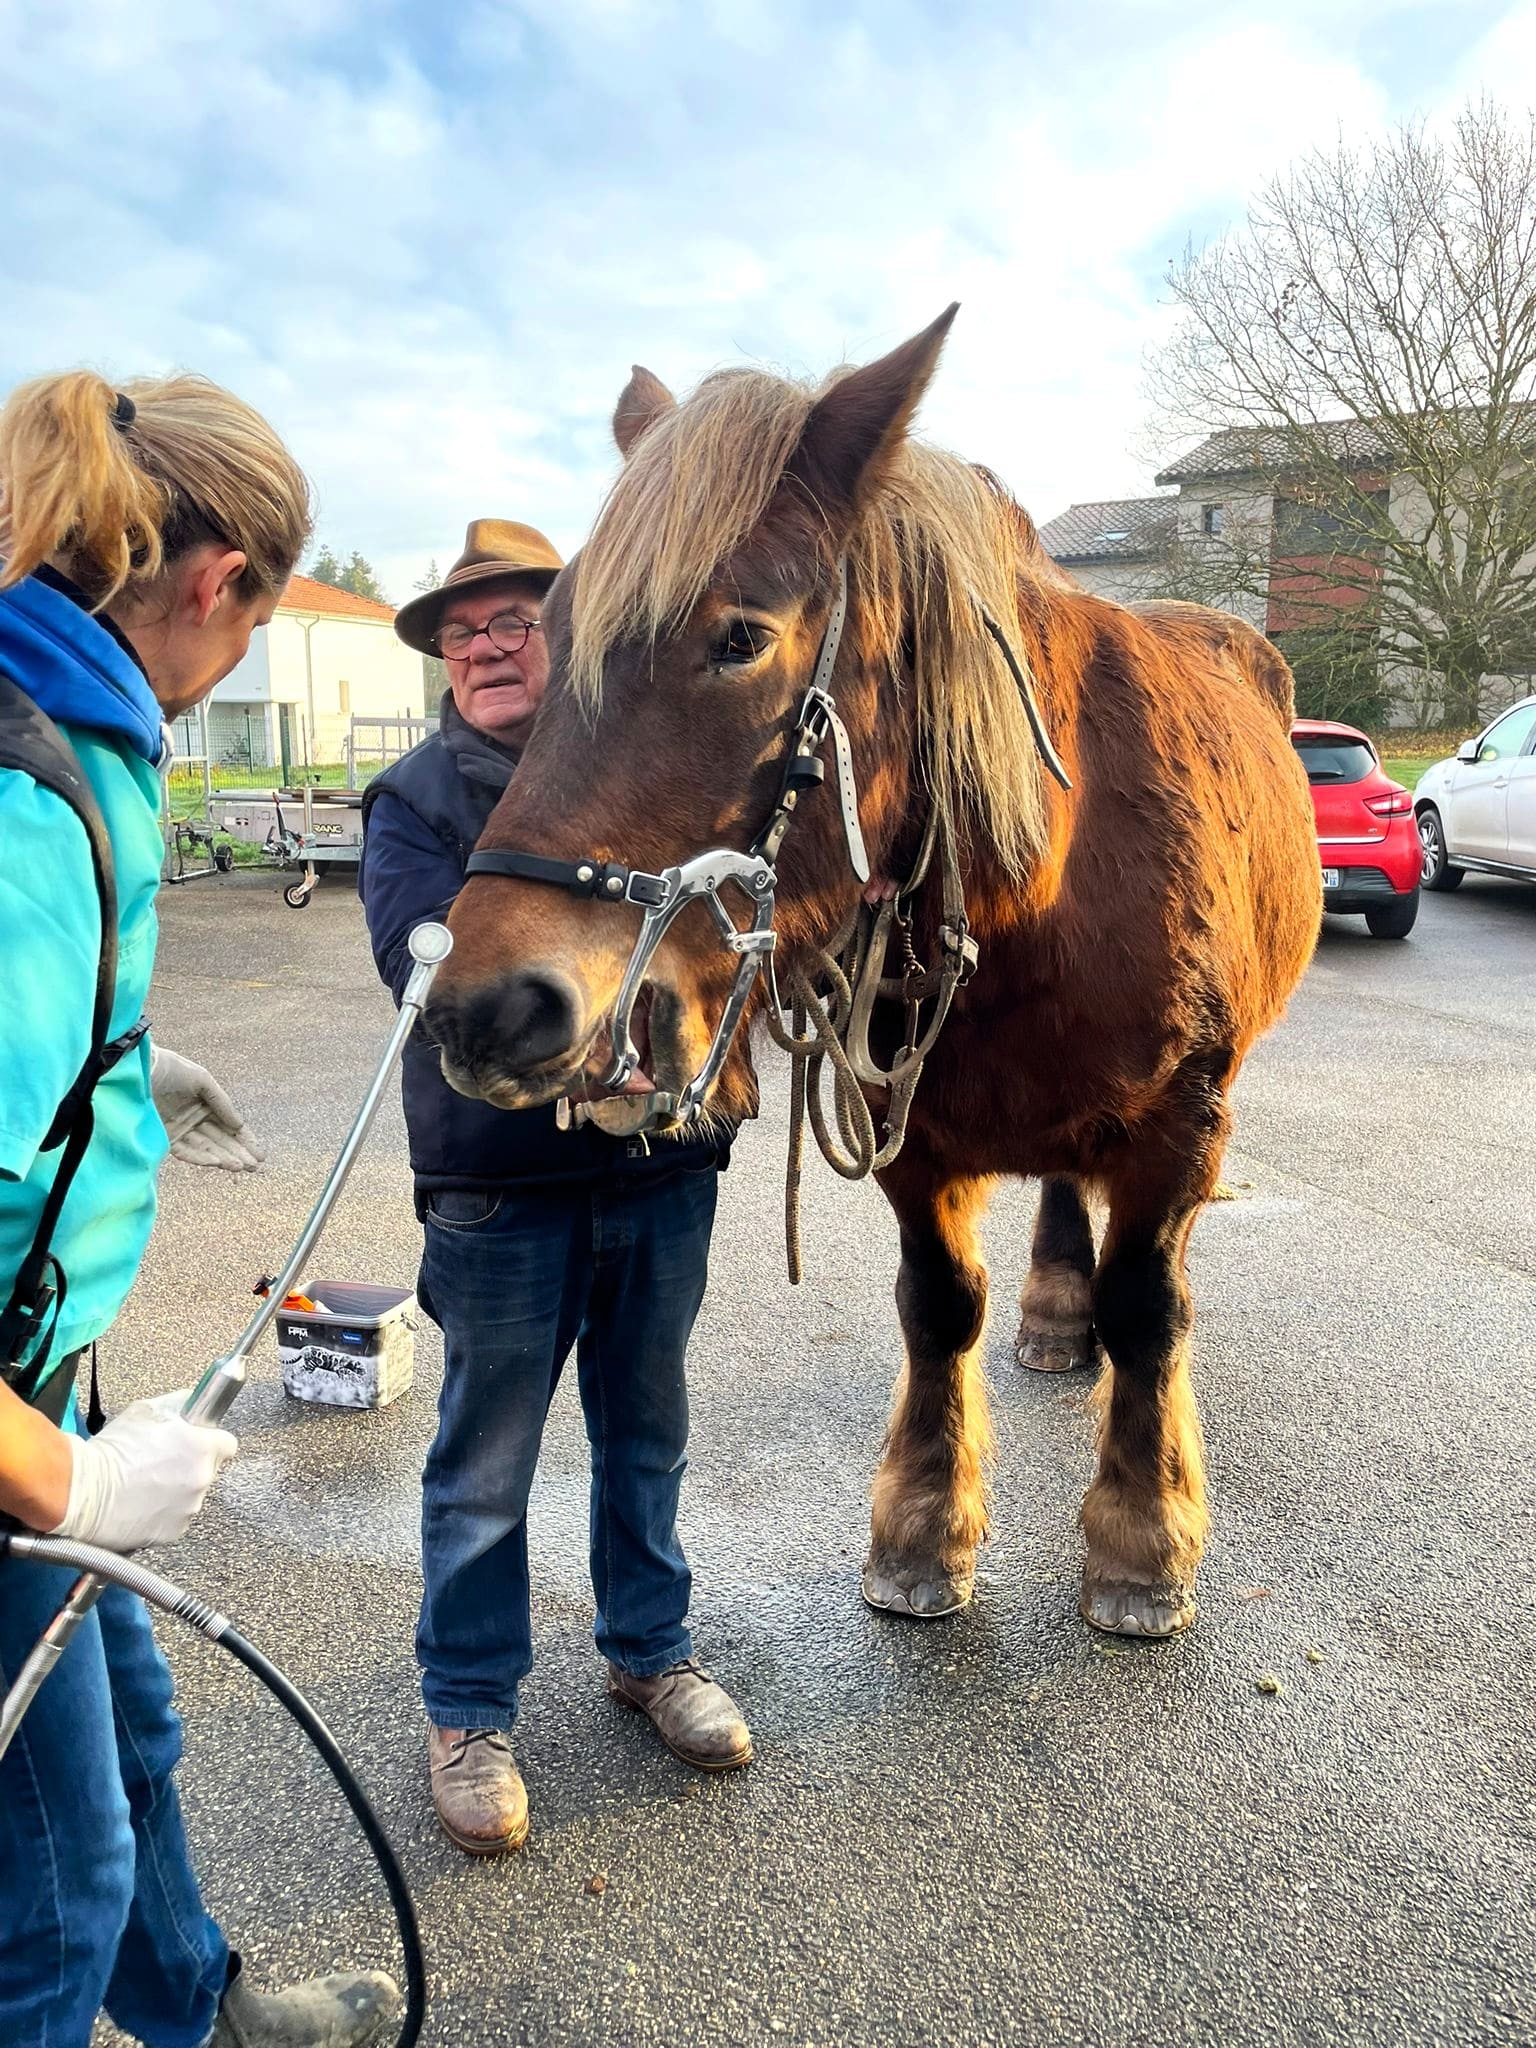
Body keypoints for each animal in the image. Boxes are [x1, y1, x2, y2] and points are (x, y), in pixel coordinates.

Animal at [424, 306, 1320, 1640]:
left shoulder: (1182, 1119)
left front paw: (1144, 1535)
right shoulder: (917, 1127)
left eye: (741, 637)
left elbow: (1151, 1308)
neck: (1038, 884)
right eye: (552, 638)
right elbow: (939, 1301)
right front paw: (925, 1523)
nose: (490, 1005)